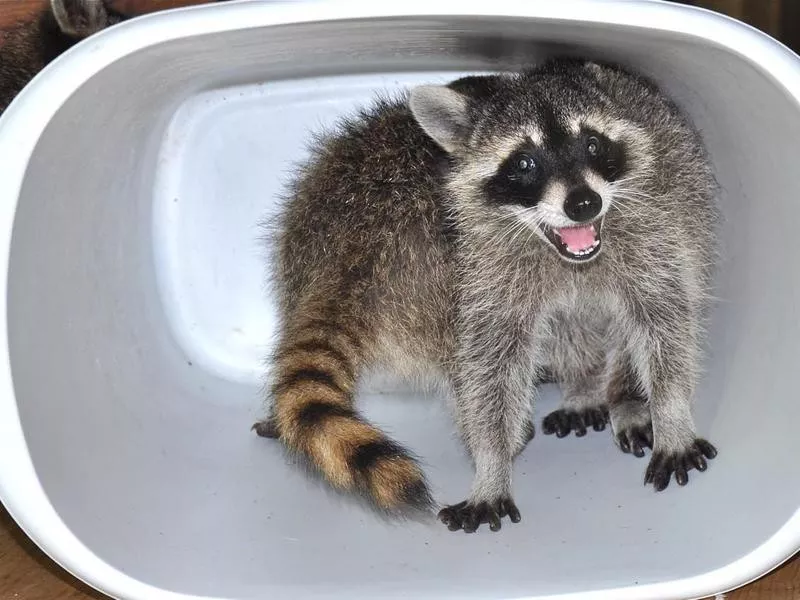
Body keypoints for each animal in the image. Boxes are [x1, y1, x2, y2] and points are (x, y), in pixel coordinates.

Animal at [256, 58, 720, 532]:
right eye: (524, 162)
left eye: (592, 143)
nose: (584, 203)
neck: (563, 252)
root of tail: (351, 253)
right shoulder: (490, 278)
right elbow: (493, 365)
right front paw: (492, 464)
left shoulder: (651, 230)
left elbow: (663, 319)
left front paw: (670, 412)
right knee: (555, 330)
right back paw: (586, 382)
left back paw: (619, 389)